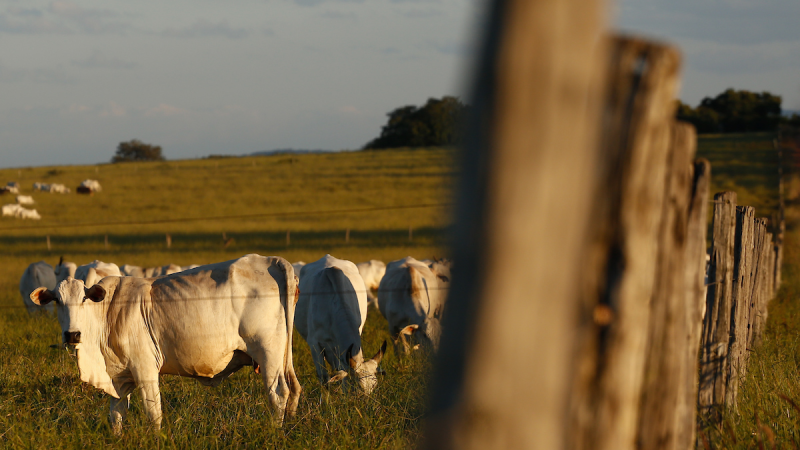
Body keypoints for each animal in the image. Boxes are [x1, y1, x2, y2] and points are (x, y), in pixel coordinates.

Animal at [28, 254, 301, 432]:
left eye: (84, 299)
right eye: (57, 301)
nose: (72, 335)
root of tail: (272, 261)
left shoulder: (145, 369)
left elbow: (153, 414)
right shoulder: (119, 377)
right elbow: (116, 416)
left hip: (268, 352)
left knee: (278, 393)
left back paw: (275, 433)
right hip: (281, 356)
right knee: (293, 388)